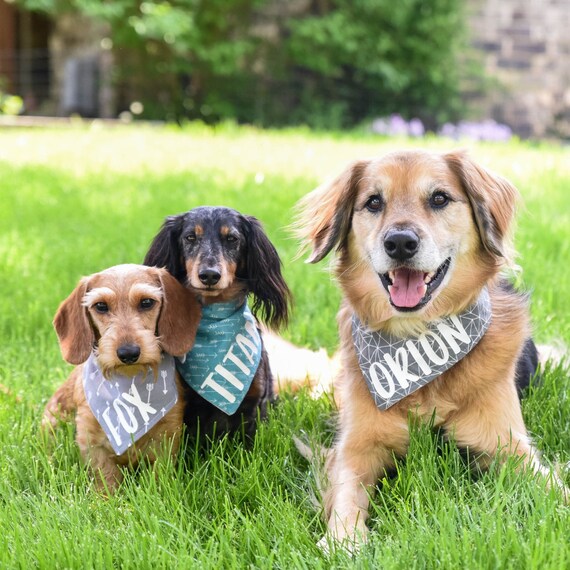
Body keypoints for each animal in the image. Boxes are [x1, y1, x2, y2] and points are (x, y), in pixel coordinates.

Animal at [41, 264, 200, 490]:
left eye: (146, 302)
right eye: (100, 306)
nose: (128, 353)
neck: (128, 382)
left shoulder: (167, 438)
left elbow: (160, 476)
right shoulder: (92, 442)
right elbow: (105, 480)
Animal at [296, 150, 564, 544]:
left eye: (439, 198)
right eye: (373, 202)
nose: (400, 243)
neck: (418, 339)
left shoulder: (508, 446)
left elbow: (553, 487)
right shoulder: (355, 448)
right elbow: (347, 493)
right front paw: (343, 541)